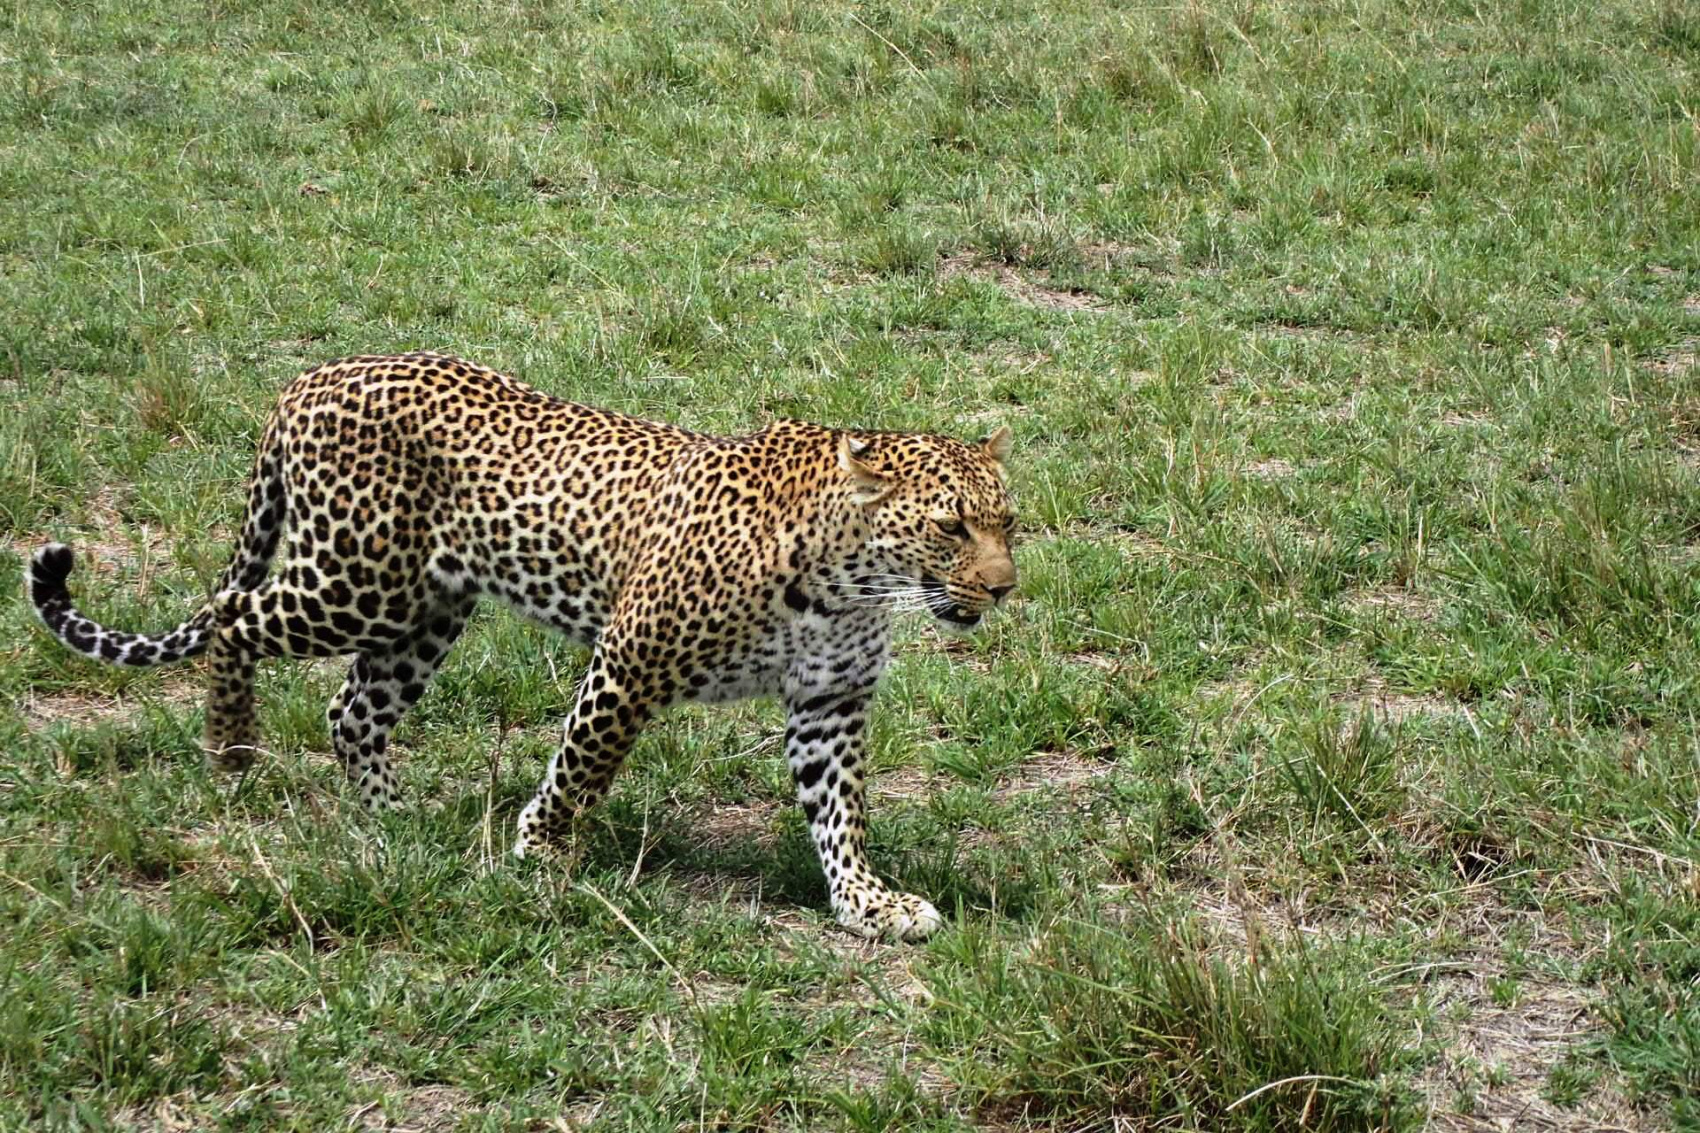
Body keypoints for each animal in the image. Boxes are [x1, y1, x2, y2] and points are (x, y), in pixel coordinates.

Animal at [26, 350, 1013, 932]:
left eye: (1006, 522)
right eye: (951, 527)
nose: (1004, 587)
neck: (852, 581)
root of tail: (312, 374)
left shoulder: (828, 702)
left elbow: (839, 811)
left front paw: (867, 903)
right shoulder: (630, 658)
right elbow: (581, 766)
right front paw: (539, 854)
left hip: (424, 610)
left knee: (352, 709)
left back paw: (396, 822)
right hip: (353, 581)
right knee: (234, 621)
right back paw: (232, 750)